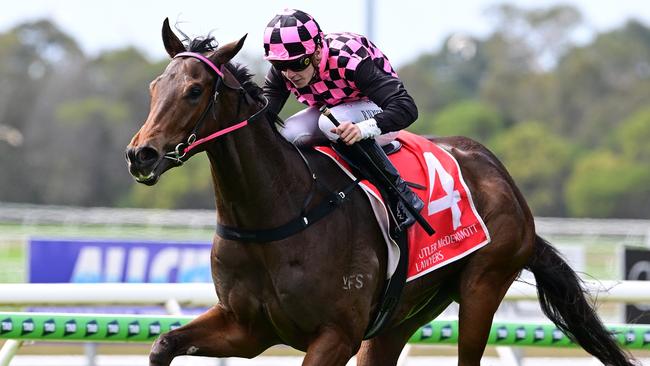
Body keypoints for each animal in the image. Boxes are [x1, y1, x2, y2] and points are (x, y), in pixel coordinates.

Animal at [123, 20, 632, 366]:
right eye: (154, 86)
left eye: (194, 90)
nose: (141, 154)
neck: (280, 213)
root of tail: (502, 177)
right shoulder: (247, 328)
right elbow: (163, 343)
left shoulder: (336, 335)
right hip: (400, 318)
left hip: (484, 287)